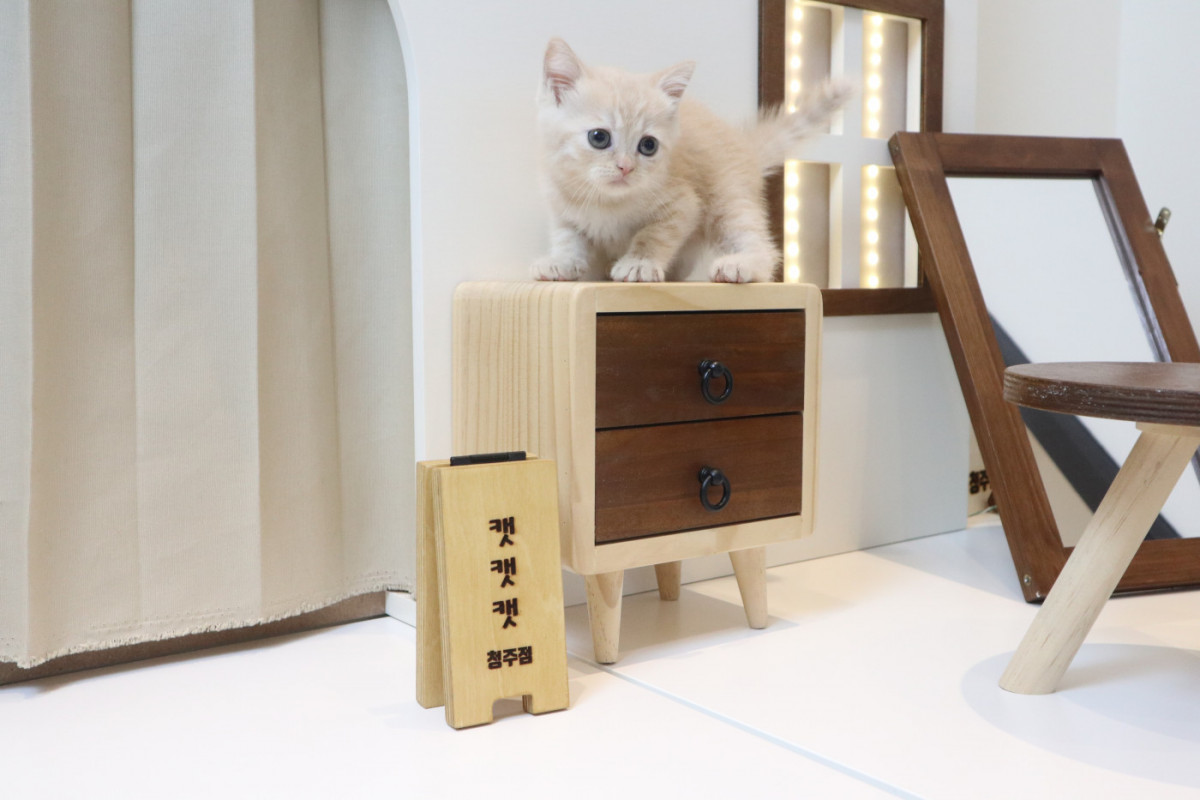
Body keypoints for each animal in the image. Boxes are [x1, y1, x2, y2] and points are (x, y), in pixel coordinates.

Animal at [532, 37, 851, 283]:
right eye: (599, 137)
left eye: (648, 145)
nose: (625, 167)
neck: (606, 201)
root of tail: (743, 144)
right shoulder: (560, 203)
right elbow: (568, 236)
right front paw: (562, 261)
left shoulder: (683, 202)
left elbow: (655, 233)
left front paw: (640, 262)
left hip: (729, 197)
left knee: (757, 241)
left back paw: (742, 263)